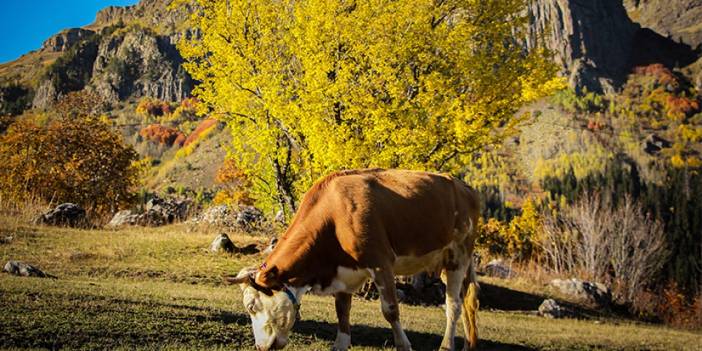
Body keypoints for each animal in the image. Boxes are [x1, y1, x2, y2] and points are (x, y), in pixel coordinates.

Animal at [228, 169, 482, 350]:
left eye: (251, 306)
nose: (260, 347)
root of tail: (464, 186)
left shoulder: (380, 262)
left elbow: (391, 310)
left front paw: (403, 344)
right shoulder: (343, 273)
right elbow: (342, 312)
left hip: (459, 255)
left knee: (454, 305)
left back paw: (447, 345)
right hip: (444, 260)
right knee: (468, 301)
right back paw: (468, 346)